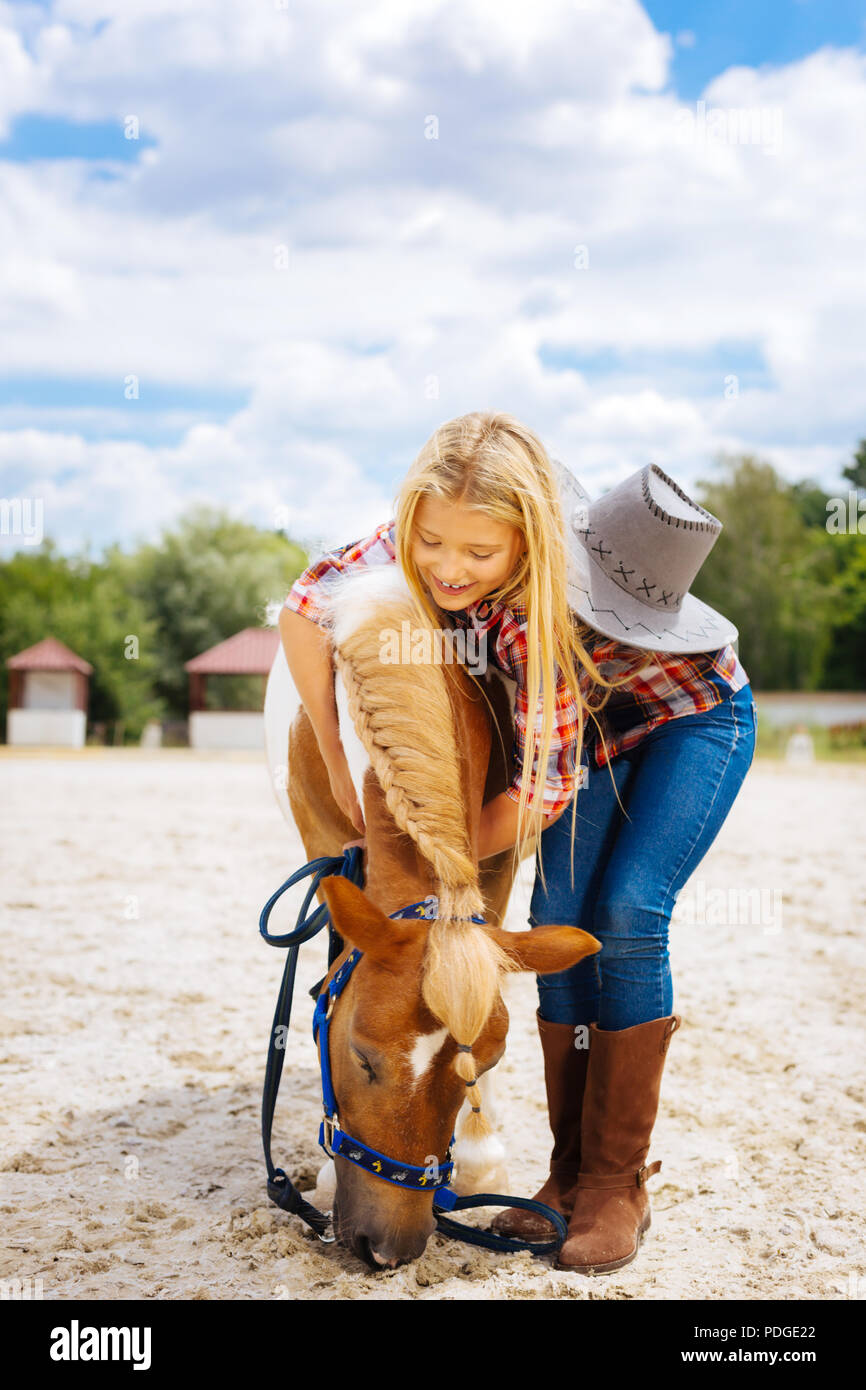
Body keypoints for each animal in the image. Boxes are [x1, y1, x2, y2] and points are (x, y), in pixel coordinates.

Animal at [264, 567, 603, 1273]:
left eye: (494, 1058)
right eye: (361, 1058)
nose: (389, 1248)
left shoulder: (494, 869)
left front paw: (478, 1160)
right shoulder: (328, 850)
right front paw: (330, 1173)